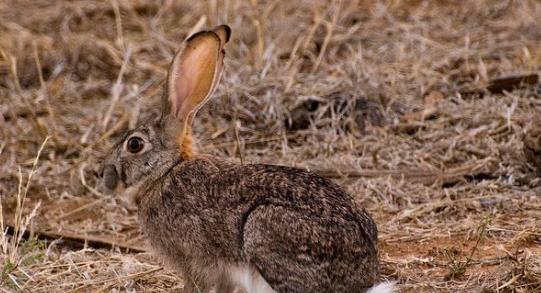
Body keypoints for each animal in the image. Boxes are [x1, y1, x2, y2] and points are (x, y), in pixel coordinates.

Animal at [98, 25, 392, 292]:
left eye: (134, 144)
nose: (101, 172)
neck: (165, 172)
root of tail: (362, 276)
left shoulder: (194, 262)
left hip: (263, 229)